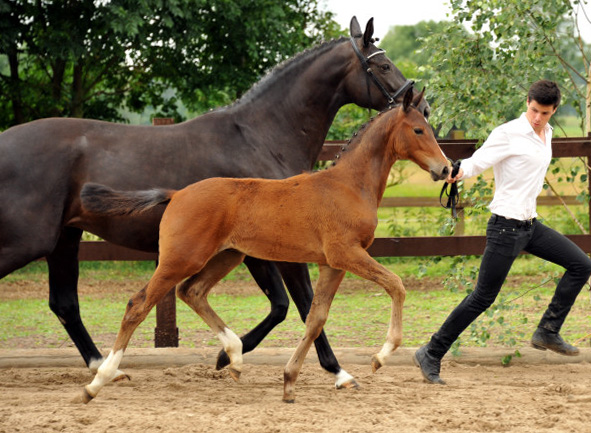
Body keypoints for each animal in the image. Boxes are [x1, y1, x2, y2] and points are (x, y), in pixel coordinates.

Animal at [78, 88, 448, 402]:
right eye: (418, 130)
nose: (445, 168)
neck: (348, 185)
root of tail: (177, 194)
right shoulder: (346, 253)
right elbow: (395, 285)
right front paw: (380, 357)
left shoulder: (332, 263)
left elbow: (315, 318)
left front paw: (291, 381)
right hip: (180, 259)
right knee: (137, 305)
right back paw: (98, 382)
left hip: (226, 256)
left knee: (192, 291)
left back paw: (234, 355)